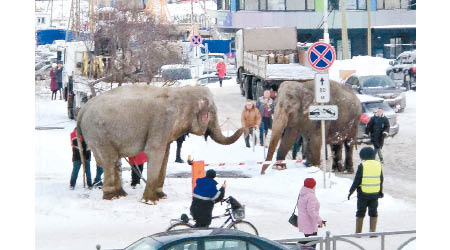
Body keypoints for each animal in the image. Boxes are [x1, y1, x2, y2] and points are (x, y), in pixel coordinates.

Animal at [76, 85, 243, 202]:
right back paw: (112, 196)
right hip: (99, 133)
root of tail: (82, 110)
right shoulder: (162, 121)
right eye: (212, 113)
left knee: (114, 161)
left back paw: (121, 194)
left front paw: (161, 196)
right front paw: (150, 201)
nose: (243, 127)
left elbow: (165, 155)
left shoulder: (167, 130)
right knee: (109, 160)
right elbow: (155, 151)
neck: (181, 92)